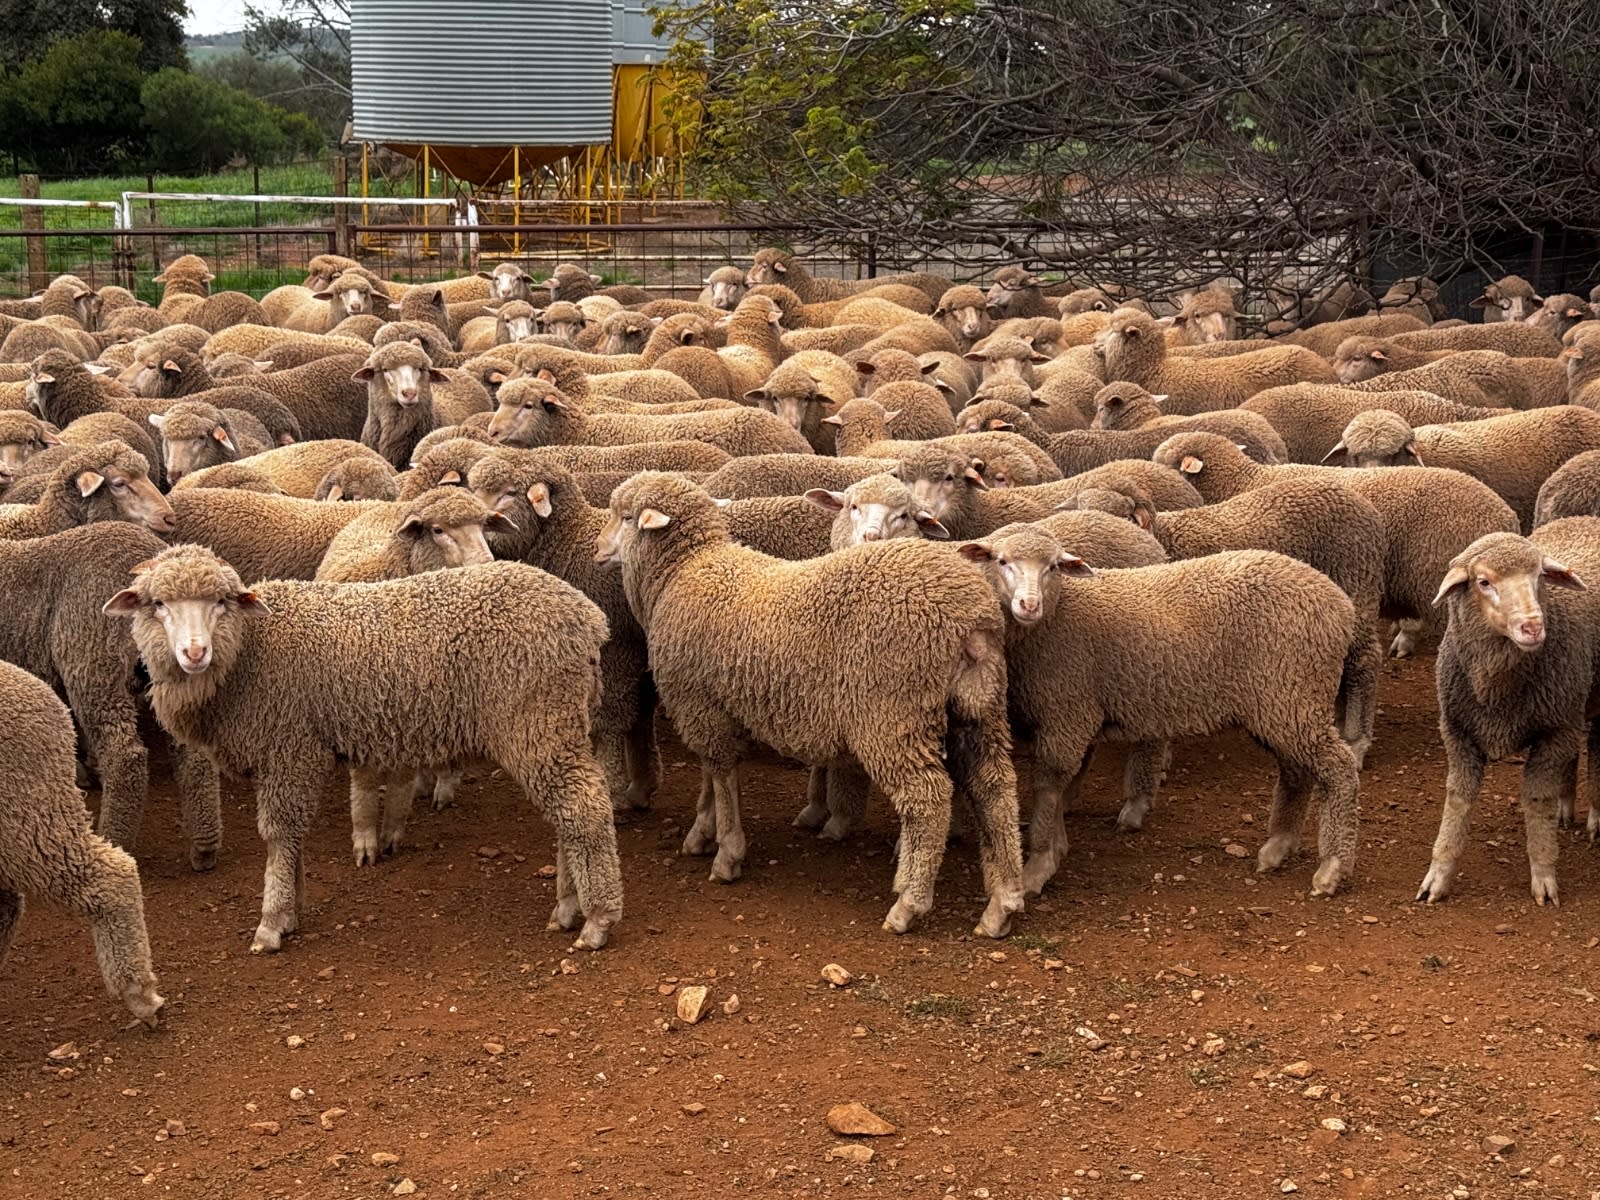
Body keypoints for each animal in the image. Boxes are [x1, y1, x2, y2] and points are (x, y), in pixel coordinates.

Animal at [105, 544, 622, 952]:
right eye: (157, 605)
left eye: (220, 603)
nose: (194, 653)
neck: (248, 653)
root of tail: (589, 619)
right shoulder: (286, 752)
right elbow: (293, 838)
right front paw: (293, 911)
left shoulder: (289, 749)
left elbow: (278, 835)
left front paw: (272, 923)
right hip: (558, 726)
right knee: (569, 813)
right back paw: (568, 907)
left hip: (536, 720)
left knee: (585, 811)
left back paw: (597, 920)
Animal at [597, 471, 1022, 936]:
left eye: (625, 517)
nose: (599, 550)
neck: (685, 569)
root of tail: (971, 618)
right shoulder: (711, 704)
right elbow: (711, 774)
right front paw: (701, 832)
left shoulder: (696, 703)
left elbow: (722, 776)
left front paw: (727, 853)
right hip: (978, 707)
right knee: (995, 788)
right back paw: (1002, 902)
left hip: (891, 713)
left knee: (927, 799)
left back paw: (908, 904)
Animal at [959, 526, 1360, 897]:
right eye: (1001, 561)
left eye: (1054, 567)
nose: (1029, 605)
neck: (1057, 616)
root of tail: (1339, 602)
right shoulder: (1071, 714)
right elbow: (1062, 785)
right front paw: (1055, 848)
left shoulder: (1067, 712)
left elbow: (1049, 785)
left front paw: (1038, 867)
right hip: (1280, 704)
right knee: (1296, 769)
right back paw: (1279, 846)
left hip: (1296, 694)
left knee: (1339, 768)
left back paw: (1331, 867)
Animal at [1417, 523, 1600, 906]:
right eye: (1484, 582)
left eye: (1540, 576)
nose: (1533, 627)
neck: (1496, 691)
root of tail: (1585, 519)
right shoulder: (1458, 733)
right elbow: (1457, 800)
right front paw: (1437, 875)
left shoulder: (1553, 734)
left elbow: (1536, 799)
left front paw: (1543, 876)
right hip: (1571, 703)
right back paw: (1565, 807)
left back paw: (1595, 816)